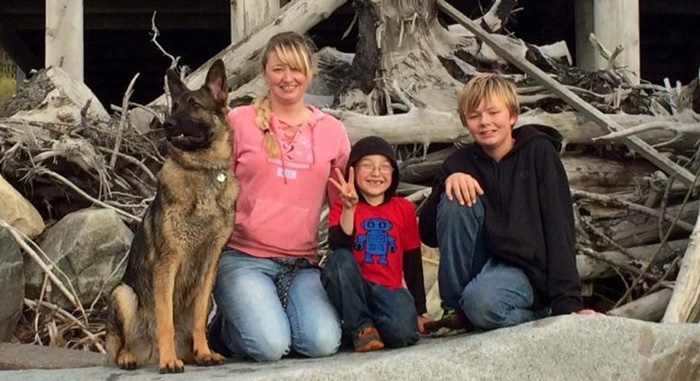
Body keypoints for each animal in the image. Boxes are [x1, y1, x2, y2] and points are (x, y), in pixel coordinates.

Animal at [106, 59, 238, 372]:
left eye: (195, 105)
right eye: (174, 106)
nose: (167, 124)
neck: (202, 170)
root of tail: (147, 353)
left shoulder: (209, 267)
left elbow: (200, 319)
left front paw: (205, 352)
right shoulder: (167, 264)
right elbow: (164, 318)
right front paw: (169, 362)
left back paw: (190, 354)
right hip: (123, 294)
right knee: (120, 345)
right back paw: (133, 357)